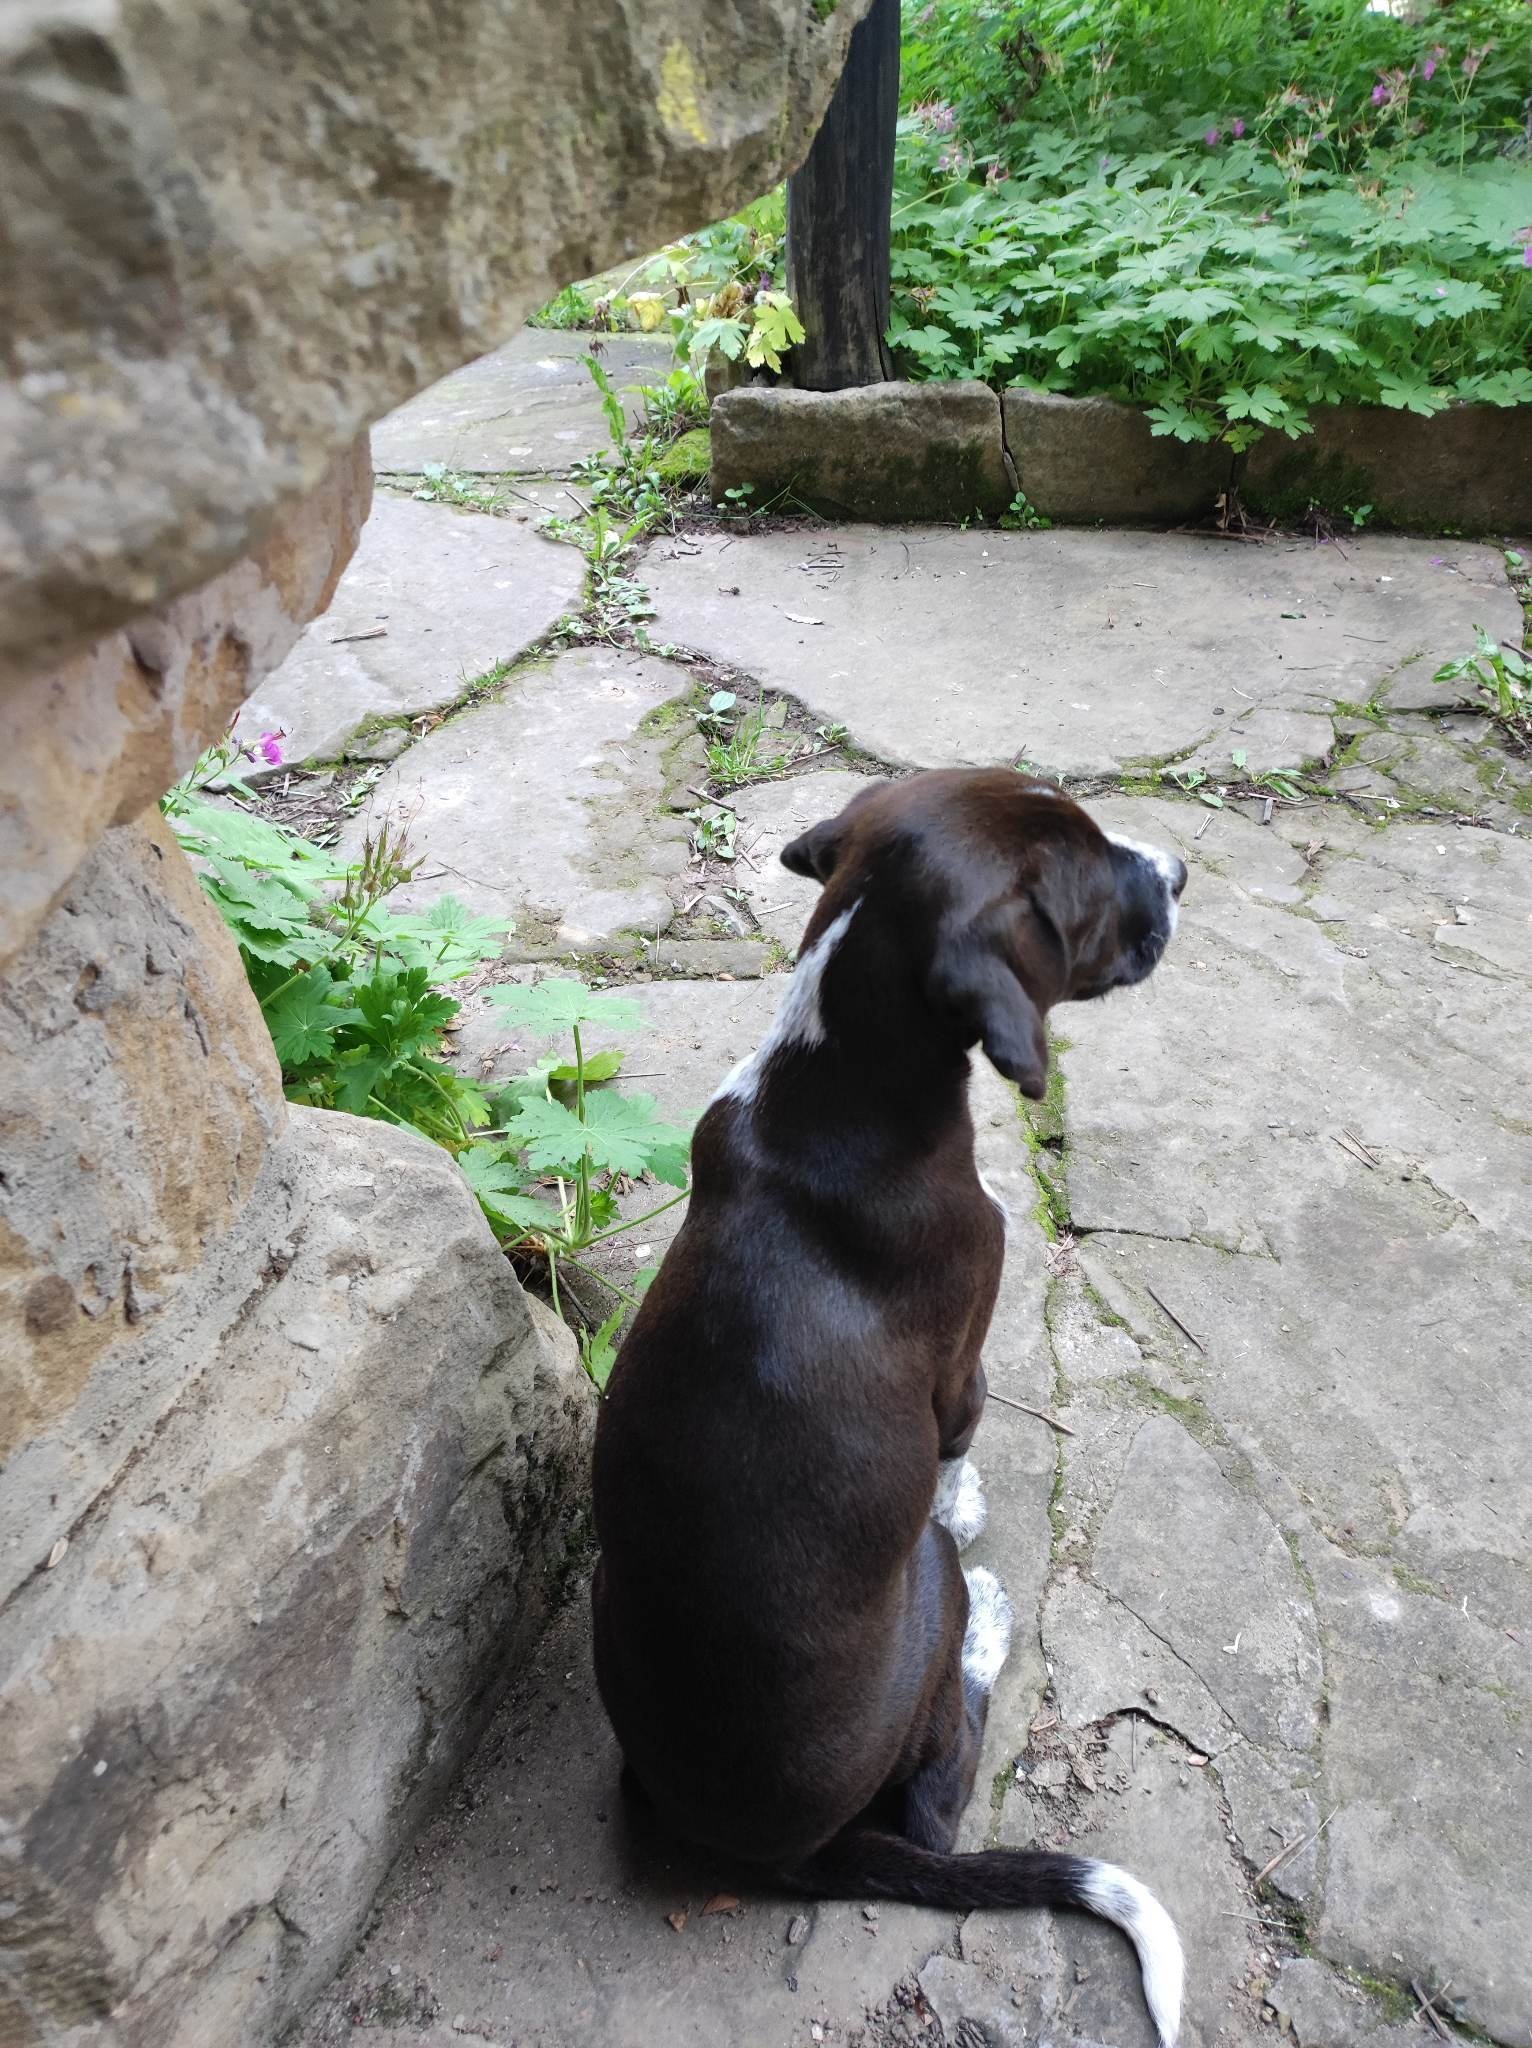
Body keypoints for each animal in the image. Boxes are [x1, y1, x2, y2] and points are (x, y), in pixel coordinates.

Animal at [591, 769, 1187, 2044]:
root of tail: (793, 1852)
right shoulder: (958, 1363)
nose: (1178, 872)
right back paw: (991, 1627)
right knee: (936, 1799)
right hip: (924, 1594)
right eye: (1083, 881)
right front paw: (965, 1505)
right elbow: (957, 1454)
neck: (833, 1080)